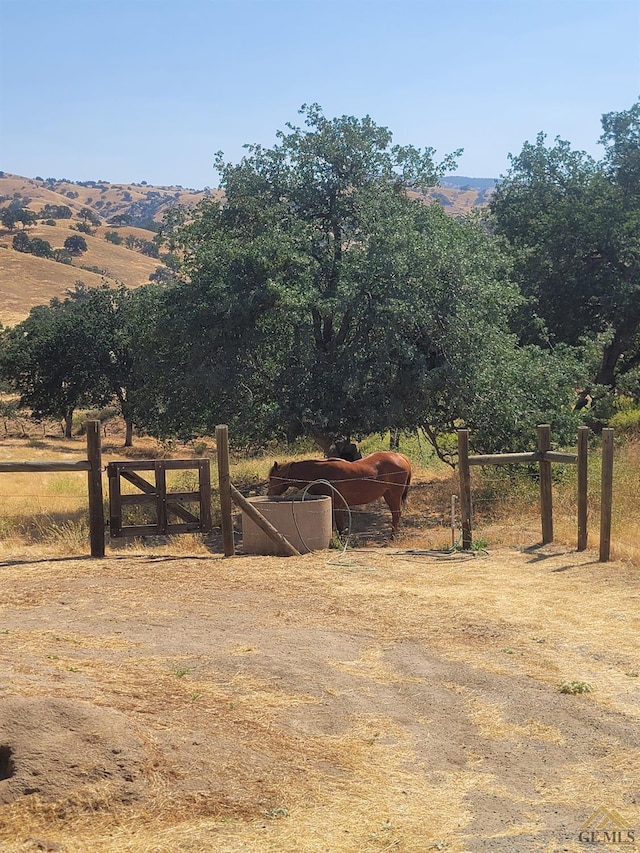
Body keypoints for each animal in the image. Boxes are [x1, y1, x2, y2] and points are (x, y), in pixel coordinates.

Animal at [268, 450, 412, 536]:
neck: (319, 473)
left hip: (394, 495)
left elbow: (340, 528)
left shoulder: (337, 506)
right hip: (388, 495)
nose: (269, 494)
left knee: (396, 514)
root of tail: (401, 457)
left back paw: (392, 537)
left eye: (272, 478)